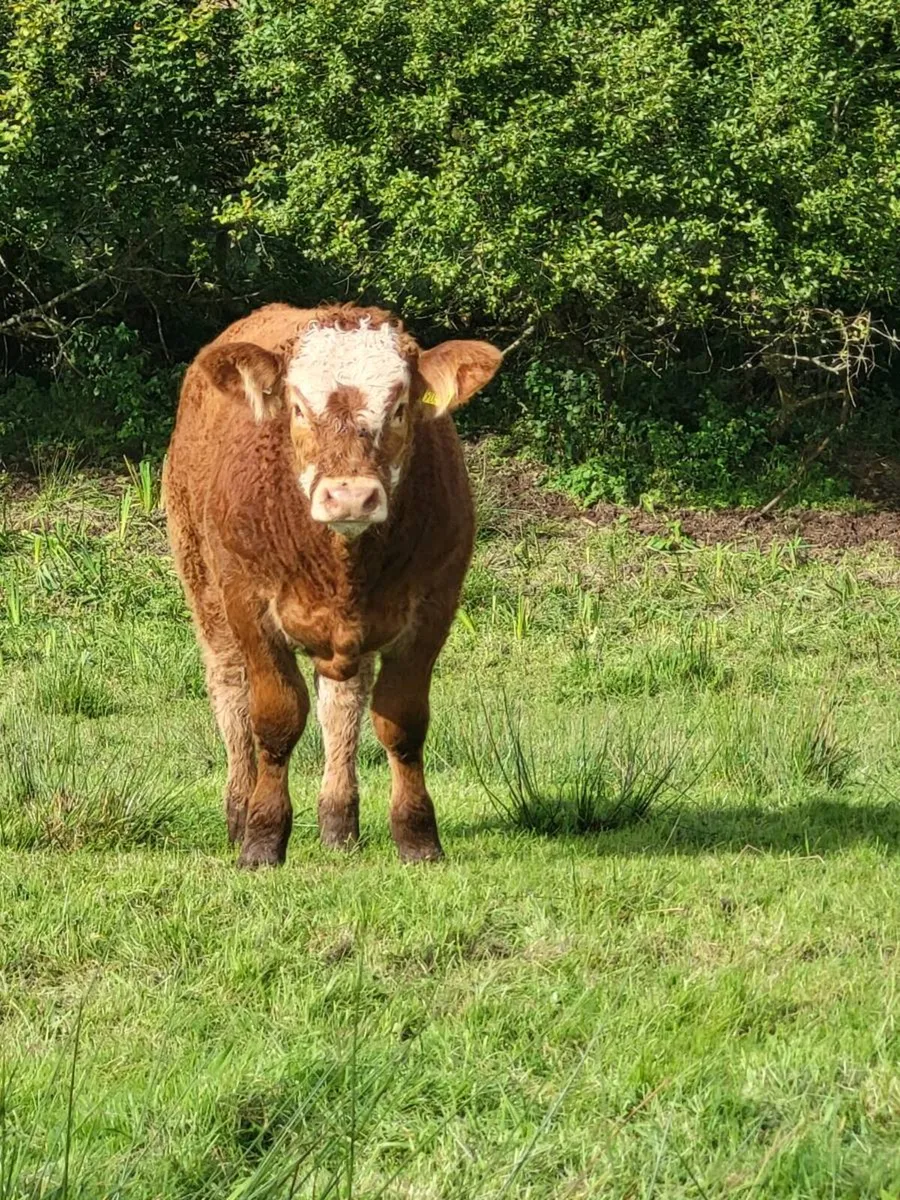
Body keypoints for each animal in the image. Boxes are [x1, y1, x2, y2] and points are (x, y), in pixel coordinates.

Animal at [165, 303, 503, 867]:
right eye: (298, 408)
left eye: (400, 407)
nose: (349, 497)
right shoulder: (249, 604)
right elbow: (275, 719)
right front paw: (262, 838)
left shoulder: (435, 604)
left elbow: (401, 721)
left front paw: (417, 838)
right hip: (202, 581)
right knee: (230, 691)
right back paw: (238, 809)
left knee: (342, 704)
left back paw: (338, 820)